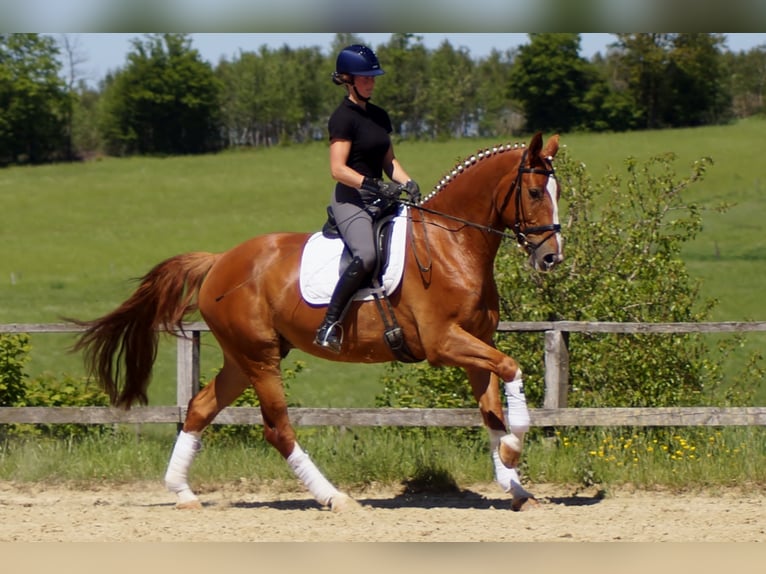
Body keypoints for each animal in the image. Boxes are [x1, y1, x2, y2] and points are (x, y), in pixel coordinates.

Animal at [72, 134, 564, 512]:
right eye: (535, 193)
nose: (551, 257)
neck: (452, 246)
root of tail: (219, 261)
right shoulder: (444, 343)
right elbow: (512, 368)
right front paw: (515, 448)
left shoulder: (473, 346)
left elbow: (492, 411)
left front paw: (515, 483)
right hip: (260, 358)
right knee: (278, 428)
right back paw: (334, 497)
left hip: (242, 358)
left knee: (199, 408)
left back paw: (183, 493)